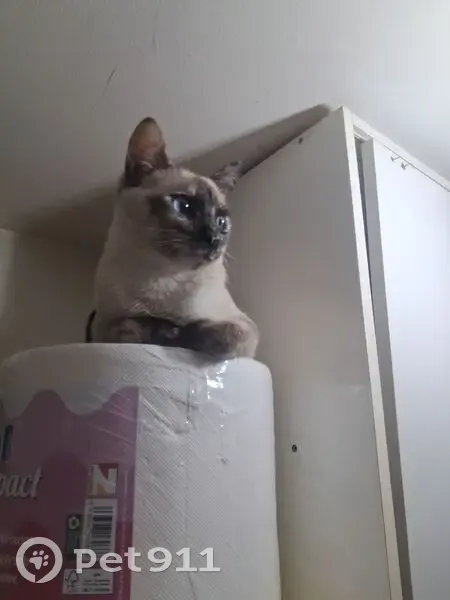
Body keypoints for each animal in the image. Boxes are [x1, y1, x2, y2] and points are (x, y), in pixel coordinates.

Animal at [87, 117, 259, 360]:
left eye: (221, 221)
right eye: (184, 206)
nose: (215, 238)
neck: (163, 276)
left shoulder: (243, 325)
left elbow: (225, 333)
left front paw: (186, 334)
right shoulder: (103, 327)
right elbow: (130, 326)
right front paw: (168, 332)